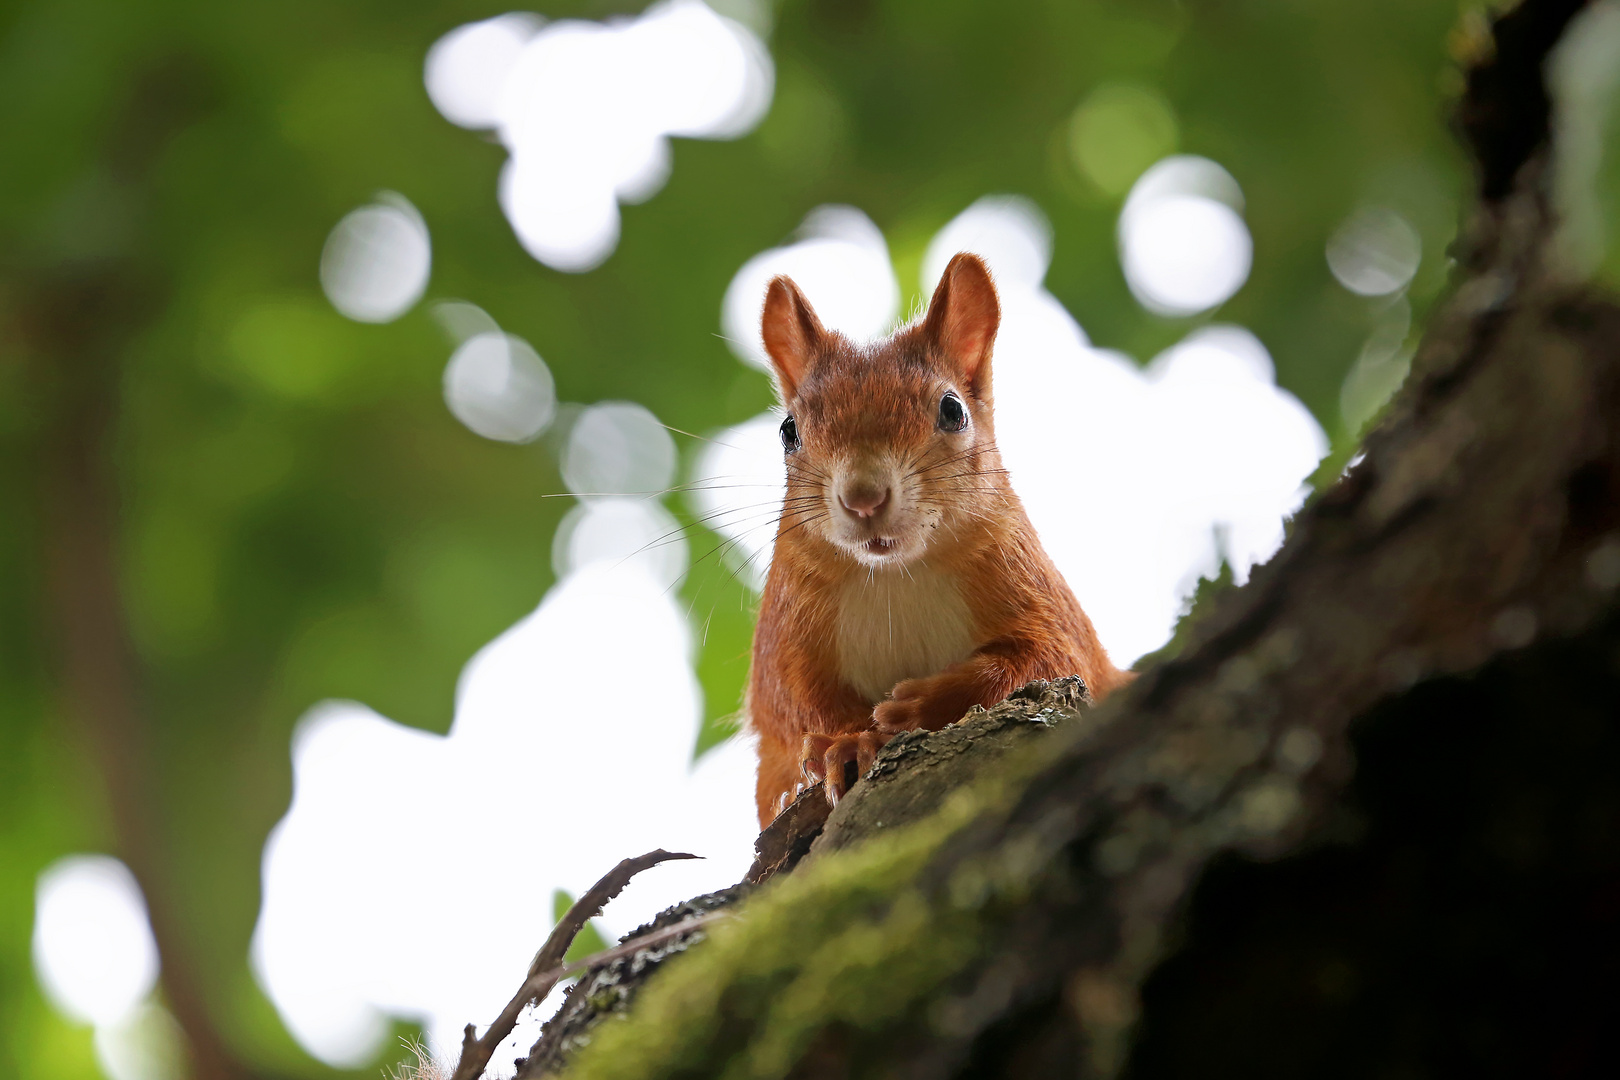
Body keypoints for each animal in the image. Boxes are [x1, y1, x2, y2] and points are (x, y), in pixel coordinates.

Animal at [745, 254, 1127, 829]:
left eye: (953, 410)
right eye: (789, 431)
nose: (863, 497)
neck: (896, 578)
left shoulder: (1036, 591)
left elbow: (1052, 657)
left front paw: (925, 705)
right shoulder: (784, 626)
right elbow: (786, 699)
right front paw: (846, 739)